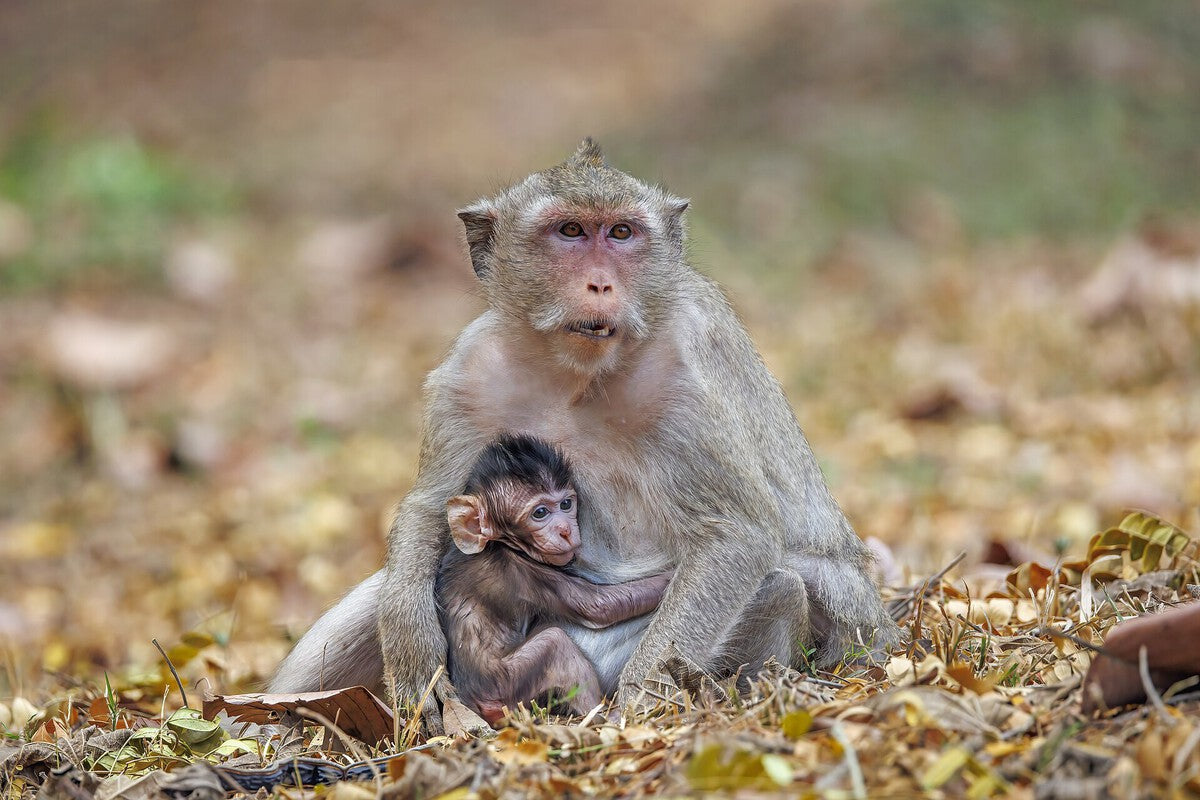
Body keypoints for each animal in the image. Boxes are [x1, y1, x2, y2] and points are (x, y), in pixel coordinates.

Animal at [436, 433, 671, 725]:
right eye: (540, 513)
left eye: (566, 504)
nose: (565, 530)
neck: (499, 543)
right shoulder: (521, 571)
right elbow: (598, 606)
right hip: (506, 686)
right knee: (556, 645)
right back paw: (603, 716)